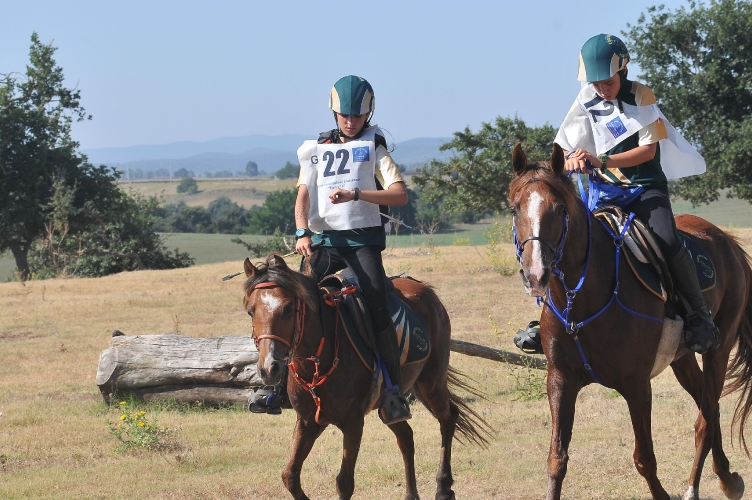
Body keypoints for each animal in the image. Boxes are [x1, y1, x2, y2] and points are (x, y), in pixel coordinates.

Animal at [241, 256, 488, 498]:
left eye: (289, 308)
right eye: (251, 311)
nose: (269, 368)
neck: (320, 359)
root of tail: (426, 289)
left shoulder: (353, 422)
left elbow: (344, 483)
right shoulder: (308, 421)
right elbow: (290, 476)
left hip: (431, 383)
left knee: (448, 418)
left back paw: (443, 487)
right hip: (393, 405)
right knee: (406, 438)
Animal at [508, 143, 752, 500]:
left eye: (559, 209)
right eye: (514, 209)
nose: (536, 274)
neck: (582, 302)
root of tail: (728, 243)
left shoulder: (636, 385)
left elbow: (644, 458)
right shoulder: (560, 380)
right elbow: (556, 459)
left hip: (717, 350)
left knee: (705, 421)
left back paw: (700, 486)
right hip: (681, 359)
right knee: (711, 411)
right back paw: (726, 478)